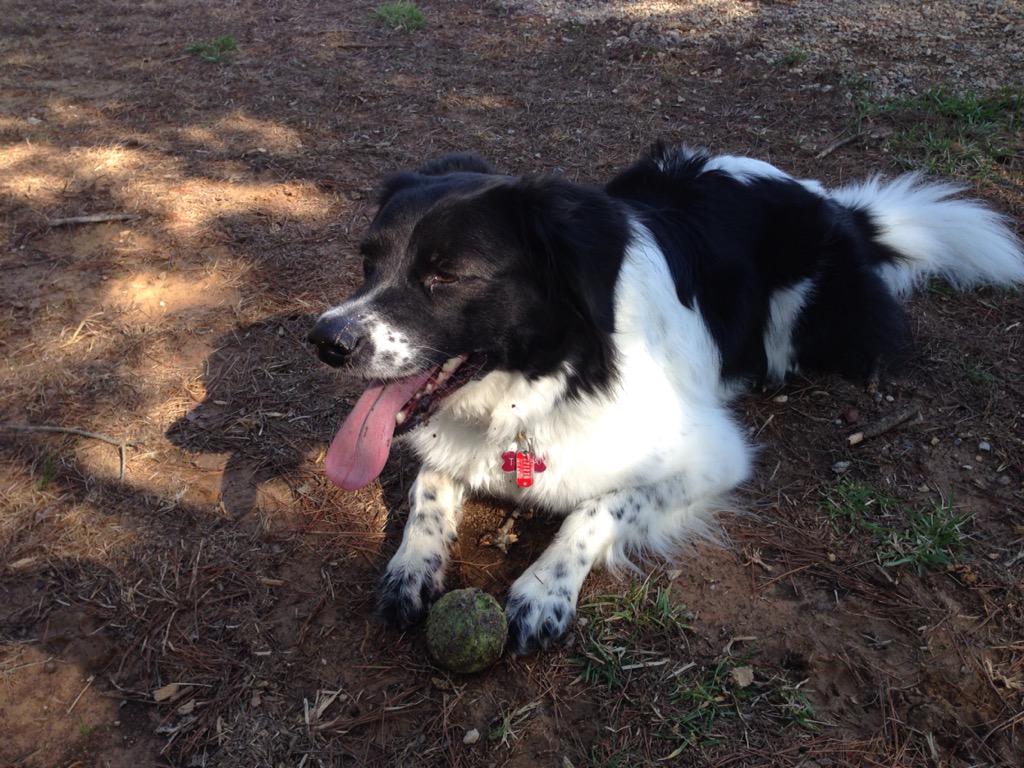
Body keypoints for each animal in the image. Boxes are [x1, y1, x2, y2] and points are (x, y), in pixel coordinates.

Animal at [305, 144, 1024, 655]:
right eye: (368, 262)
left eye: (446, 275)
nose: (326, 341)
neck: (547, 382)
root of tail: (835, 204)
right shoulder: (452, 444)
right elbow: (428, 486)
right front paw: (411, 566)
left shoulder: (713, 455)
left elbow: (596, 509)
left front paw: (544, 589)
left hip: (803, 317)